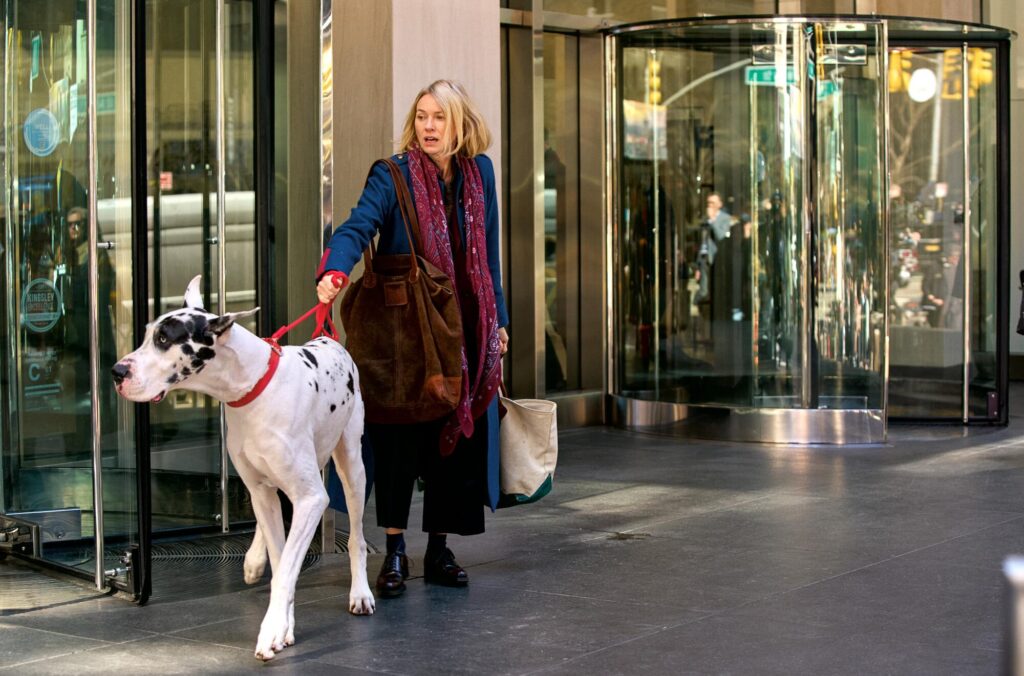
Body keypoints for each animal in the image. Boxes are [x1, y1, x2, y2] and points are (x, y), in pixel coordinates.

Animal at [112, 274, 376, 659]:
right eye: (147, 334)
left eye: (164, 340)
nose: (116, 372)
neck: (250, 389)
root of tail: (327, 337)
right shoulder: (261, 490)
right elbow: (282, 566)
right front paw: (283, 626)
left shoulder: (312, 499)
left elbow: (288, 569)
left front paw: (271, 632)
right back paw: (254, 559)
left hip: (352, 466)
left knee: (356, 536)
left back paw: (360, 593)